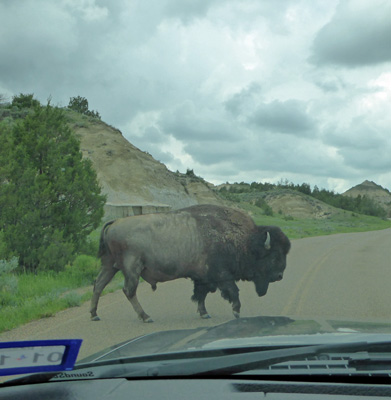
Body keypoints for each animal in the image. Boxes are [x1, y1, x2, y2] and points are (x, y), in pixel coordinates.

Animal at [89, 205, 290, 324]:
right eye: (274, 256)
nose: (280, 276)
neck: (245, 241)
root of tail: (115, 221)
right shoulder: (222, 276)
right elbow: (232, 291)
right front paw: (236, 312)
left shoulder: (202, 278)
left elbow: (201, 295)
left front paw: (204, 313)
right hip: (132, 269)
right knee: (129, 291)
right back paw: (146, 317)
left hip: (110, 265)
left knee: (98, 285)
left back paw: (94, 315)